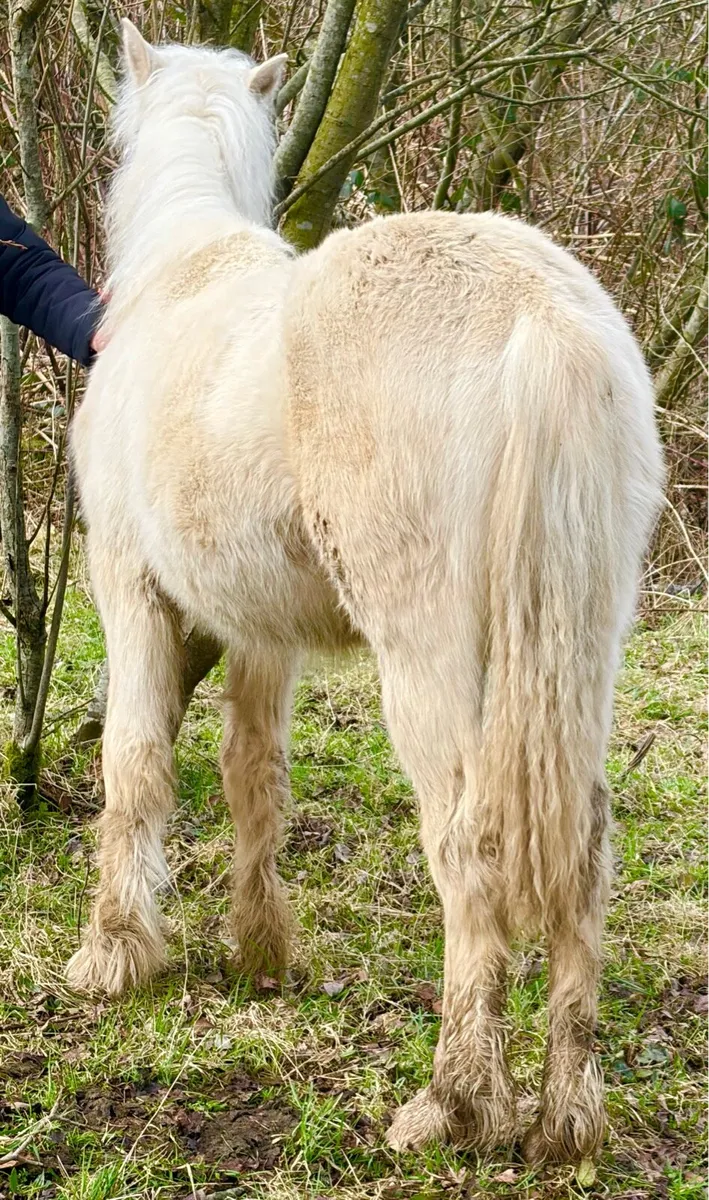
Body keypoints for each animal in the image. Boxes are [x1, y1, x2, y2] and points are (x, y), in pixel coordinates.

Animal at [66, 18, 664, 1164]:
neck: (182, 276)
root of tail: (541, 318)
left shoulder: (132, 594)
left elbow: (136, 766)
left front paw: (114, 954)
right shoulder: (259, 633)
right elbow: (253, 773)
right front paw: (260, 951)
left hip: (424, 661)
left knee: (471, 849)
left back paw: (455, 1101)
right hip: (580, 650)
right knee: (581, 852)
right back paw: (565, 1118)